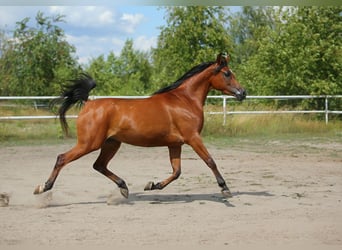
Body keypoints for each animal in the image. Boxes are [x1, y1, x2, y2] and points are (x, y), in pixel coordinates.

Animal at [33, 52, 246, 199]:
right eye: (227, 73)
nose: (243, 93)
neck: (184, 100)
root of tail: (88, 103)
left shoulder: (175, 144)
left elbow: (176, 172)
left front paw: (152, 185)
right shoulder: (193, 137)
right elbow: (210, 161)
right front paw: (225, 188)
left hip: (111, 143)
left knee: (99, 165)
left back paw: (124, 188)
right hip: (89, 143)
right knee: (62, 158)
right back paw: (43, 187)